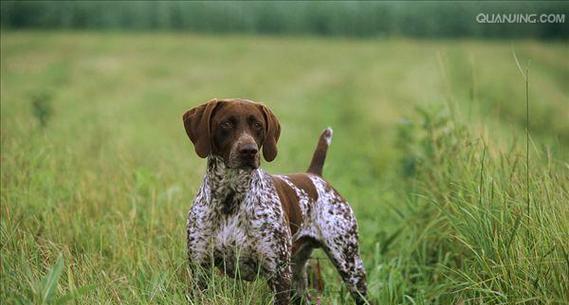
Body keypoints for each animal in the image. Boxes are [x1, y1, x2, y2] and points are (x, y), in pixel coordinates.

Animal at [183, 98, 368, 302]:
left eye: (258, 125)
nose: (249, 151)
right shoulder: (200, 270)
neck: (230, 196)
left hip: (350, 265)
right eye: (226, 124)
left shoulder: (279, 275)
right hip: (298, 278)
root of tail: (314, 175)